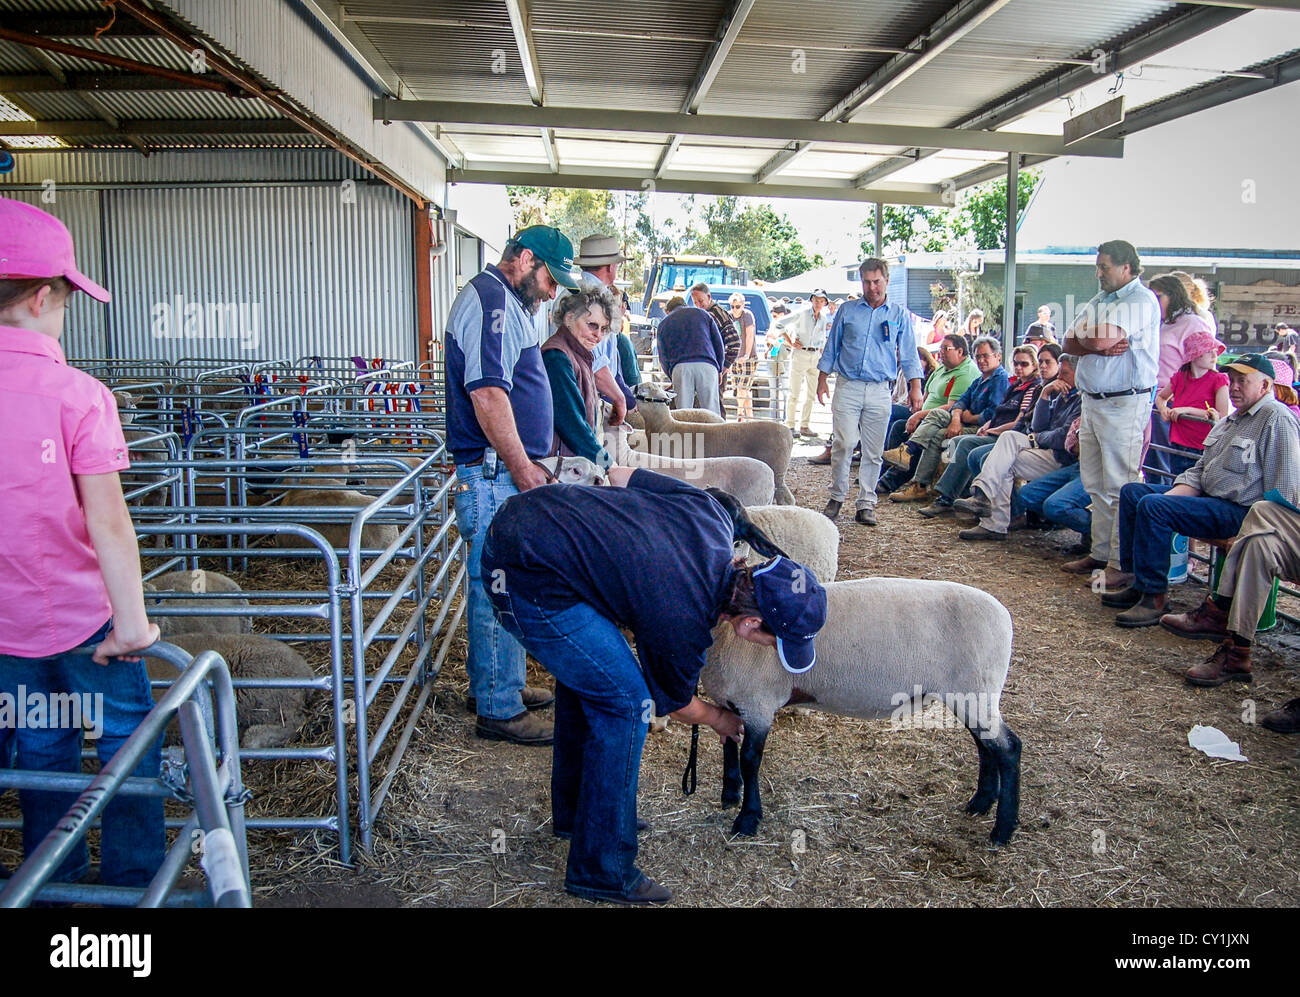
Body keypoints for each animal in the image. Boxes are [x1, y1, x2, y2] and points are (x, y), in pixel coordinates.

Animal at [696, 577, 1019, 842]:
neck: (724, 637)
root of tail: (1004, 616)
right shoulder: (730, 701)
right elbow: (728, 743)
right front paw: (730, 794)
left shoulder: (758, 702)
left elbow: (750, 759)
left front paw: (747, 819)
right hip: (970, 695)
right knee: (985, 746)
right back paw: (980, 803)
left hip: (976, 687)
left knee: (1008, 748)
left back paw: (1002, 829)